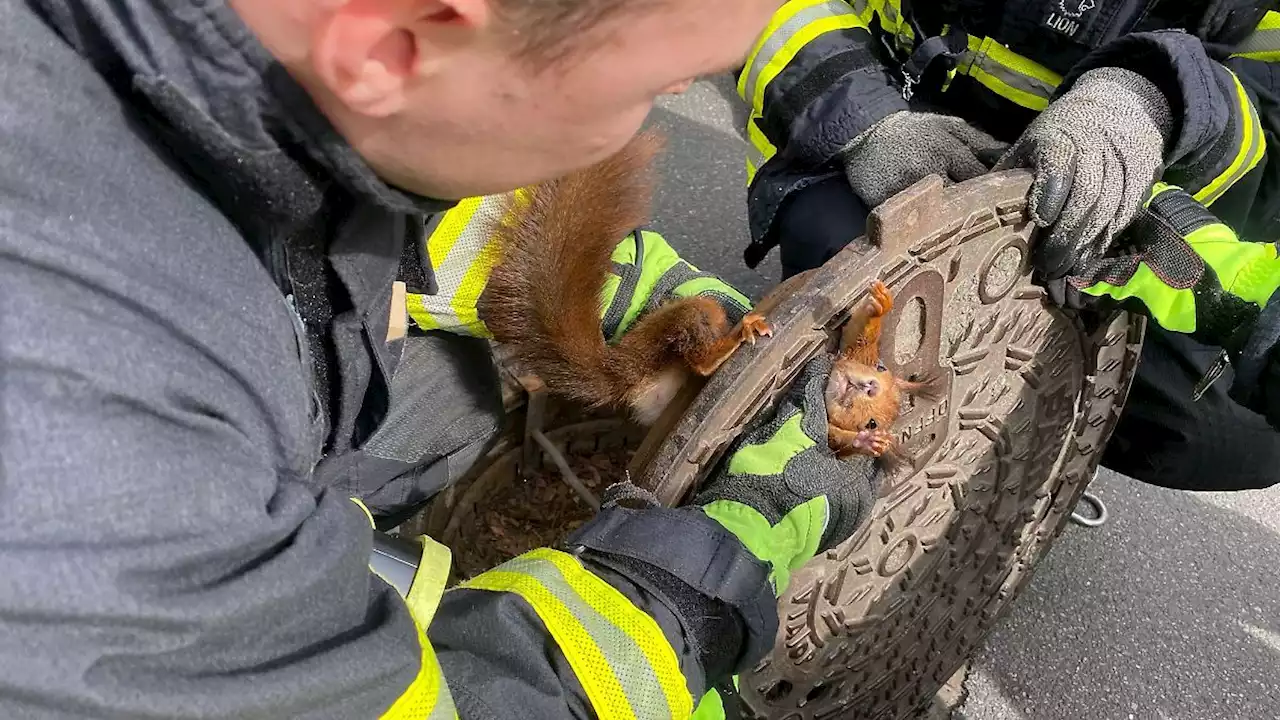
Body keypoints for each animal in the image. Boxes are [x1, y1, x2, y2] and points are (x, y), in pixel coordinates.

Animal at [819, 279, 942, 458]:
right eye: (880, 367)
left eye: (872, 424)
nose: (872, 387)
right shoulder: (852, 351)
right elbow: (856, 334)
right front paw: (882, 304)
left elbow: (835, 442)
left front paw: (867, 442)